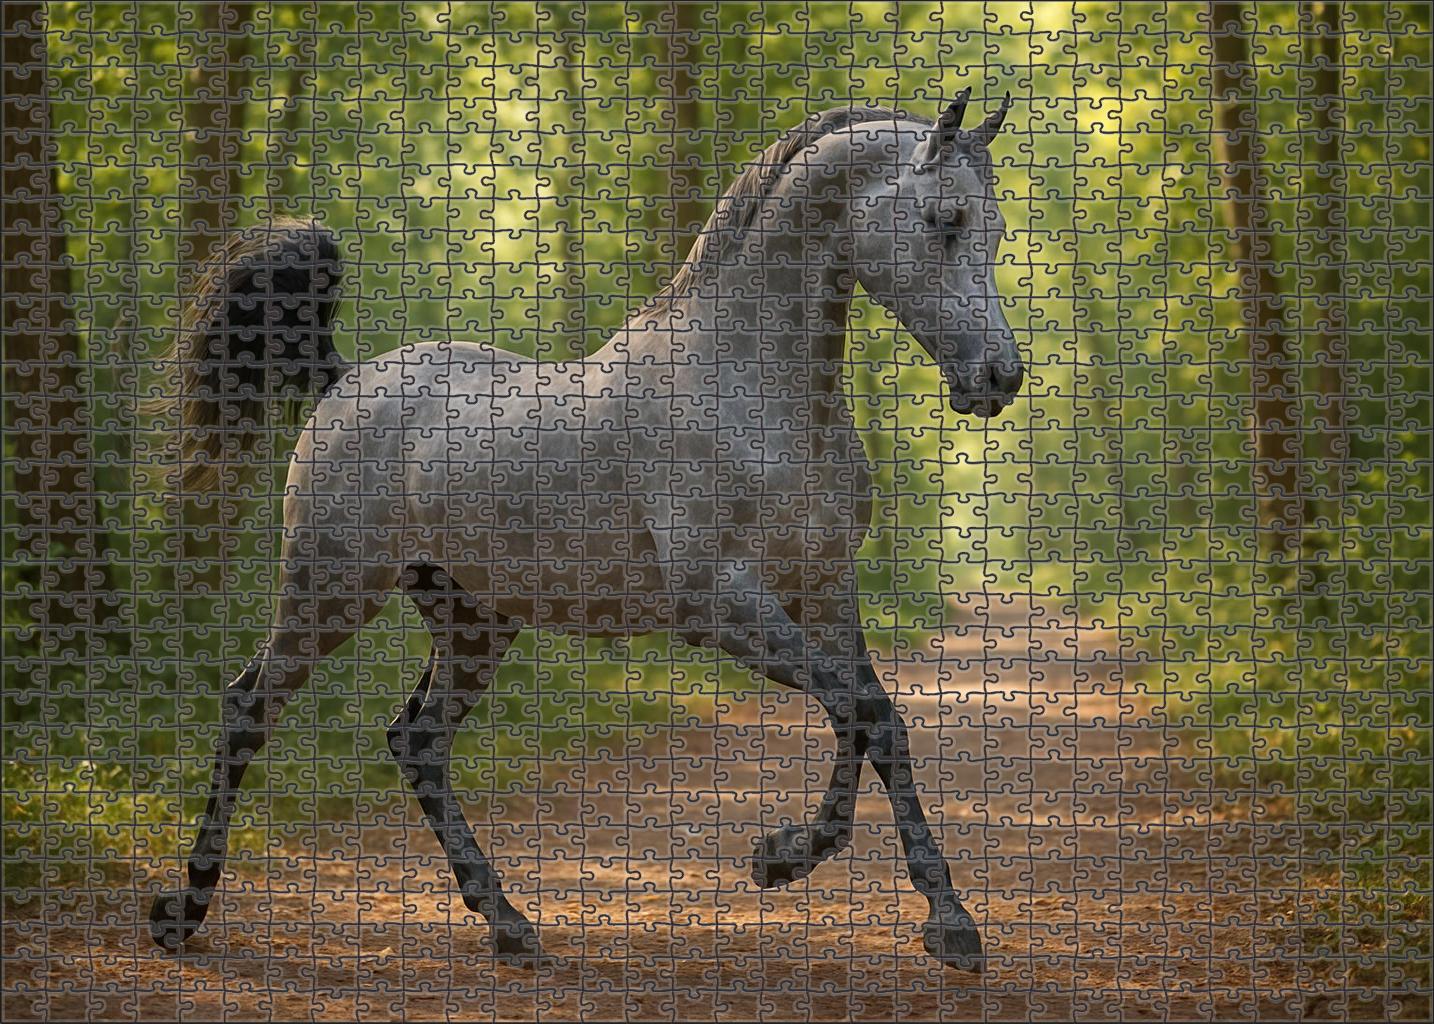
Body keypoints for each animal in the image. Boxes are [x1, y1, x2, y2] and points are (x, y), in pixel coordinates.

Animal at [147, 92, 1023, 974]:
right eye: (944, 219)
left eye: (996, 228)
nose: (998, 378)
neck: (748, 390)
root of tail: (343, 381)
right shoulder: (723, 606)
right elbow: (866, 713)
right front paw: (830, 875)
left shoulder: (822, 591)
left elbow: (870, 717)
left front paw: (860, 884)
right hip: (328, 595)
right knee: (248, 710)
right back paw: (182, 912)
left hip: (473, 620)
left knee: (418, 741)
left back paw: (509, 925)